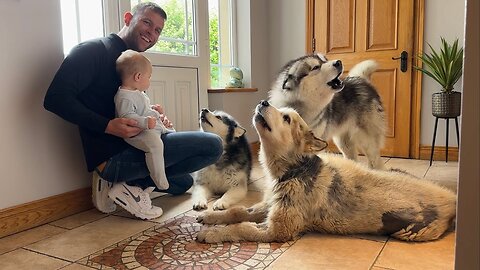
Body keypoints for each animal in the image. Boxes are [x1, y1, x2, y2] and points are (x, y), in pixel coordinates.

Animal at [196, 101, 458, 245]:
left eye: (286, 118)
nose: (263, 102)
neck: (292, 170)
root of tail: (453, 199)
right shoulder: (269, 205)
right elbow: (238, 211)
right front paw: (211, 217)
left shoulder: (279, 229)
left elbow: (242, 227)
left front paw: (212, 234)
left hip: (413, 230)